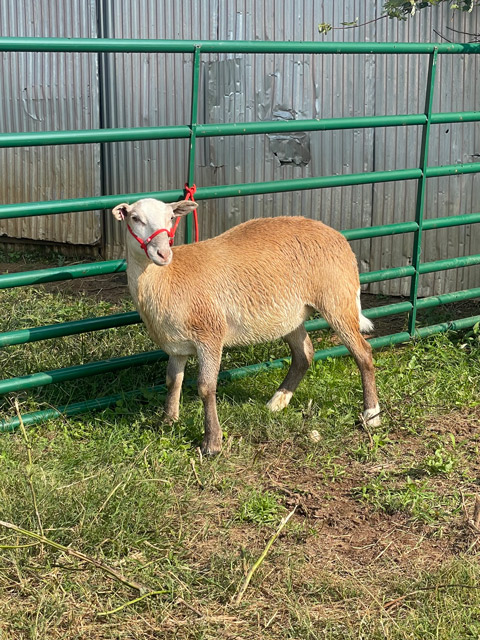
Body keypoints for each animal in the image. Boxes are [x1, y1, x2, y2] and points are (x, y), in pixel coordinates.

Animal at [112, 198, 380, 455]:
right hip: (291, 314)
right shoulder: (177, 345)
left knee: (363, 352)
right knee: (304, 354)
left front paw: (212, 443)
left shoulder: (210, 334)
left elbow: (206, 387)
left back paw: (371, 413)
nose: (163, 253)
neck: (166, 278)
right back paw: (277, 401)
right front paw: (168, 421)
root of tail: (336, 235)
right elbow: (172, 381)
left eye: (170, 218)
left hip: (337, 298)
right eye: (135, 218)